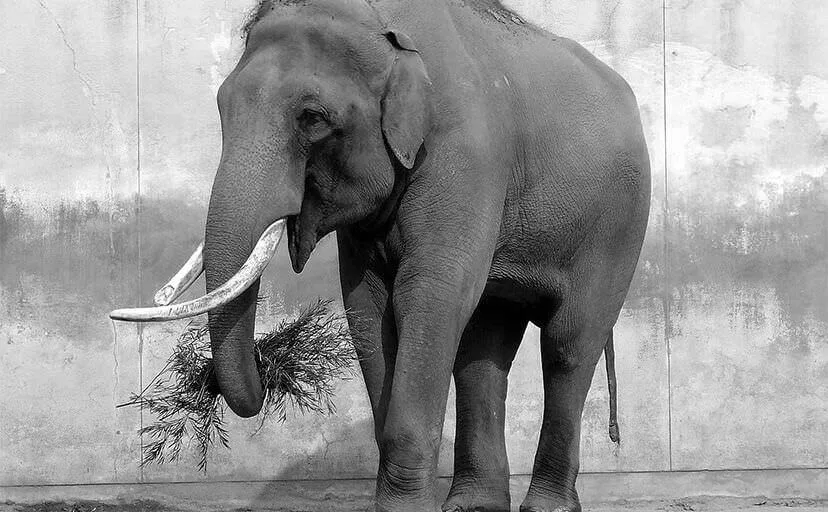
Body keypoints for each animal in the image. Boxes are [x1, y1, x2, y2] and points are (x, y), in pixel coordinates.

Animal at [111, 0, 650, 510]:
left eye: (312, 118)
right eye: (222, 106)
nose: (269, 363)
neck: (385, 27)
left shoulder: (465, 155)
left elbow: (427, 296)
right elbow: (367, 306)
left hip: (618, 225)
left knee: (568, 343)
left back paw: (545, 506)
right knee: (483, 348)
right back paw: (472, 505)